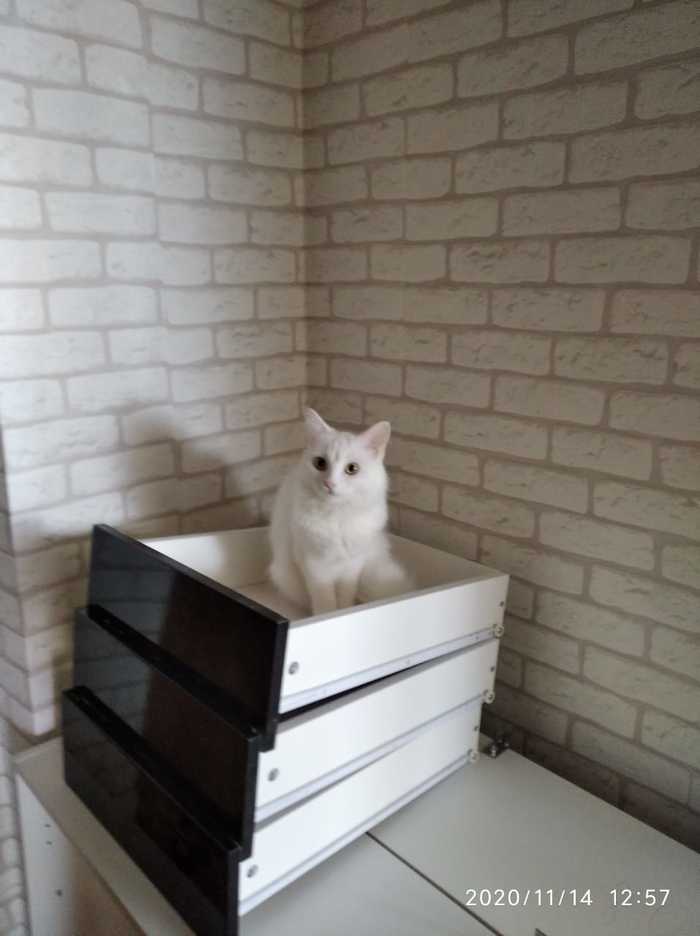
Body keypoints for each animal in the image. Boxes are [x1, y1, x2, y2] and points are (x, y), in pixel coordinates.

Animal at [269, 408, 412, 616]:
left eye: (352, 469)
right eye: (320, 463)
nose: (329, 483)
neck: (337, 514)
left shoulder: (352, 565)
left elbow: (345, 597)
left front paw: (344, 613)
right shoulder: (315, 565)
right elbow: (325, 601)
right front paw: (326, 617)